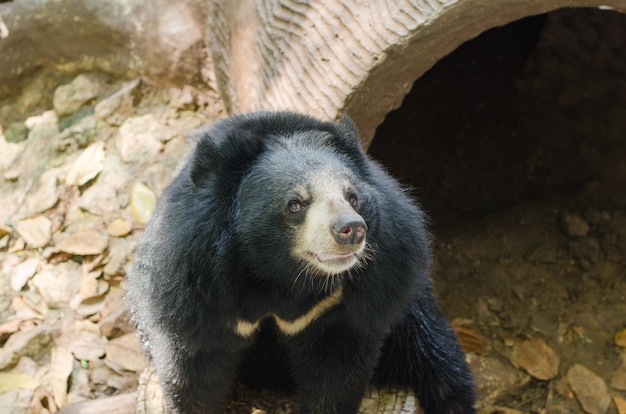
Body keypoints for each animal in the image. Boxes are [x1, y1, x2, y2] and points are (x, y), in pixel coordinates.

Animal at [128, 111, 478, 412]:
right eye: (295, 204)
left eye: (352, 197)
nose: (351, 229)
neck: (279, 275)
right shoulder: (192, 286)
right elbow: (193, 373)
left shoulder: (366, 291)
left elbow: (336, 373)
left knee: (437, 361)